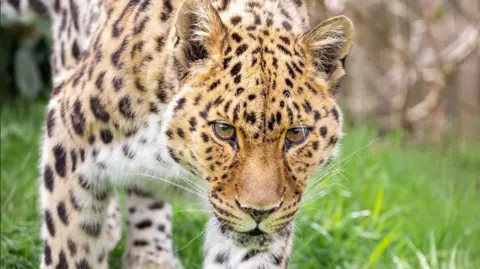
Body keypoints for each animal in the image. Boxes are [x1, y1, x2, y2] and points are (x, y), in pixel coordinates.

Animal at [10, 0, 352, 266]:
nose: (259, 212)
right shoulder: (67, 134)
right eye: (223, 130)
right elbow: (69, 244)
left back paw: (150, 255)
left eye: (296, 135)